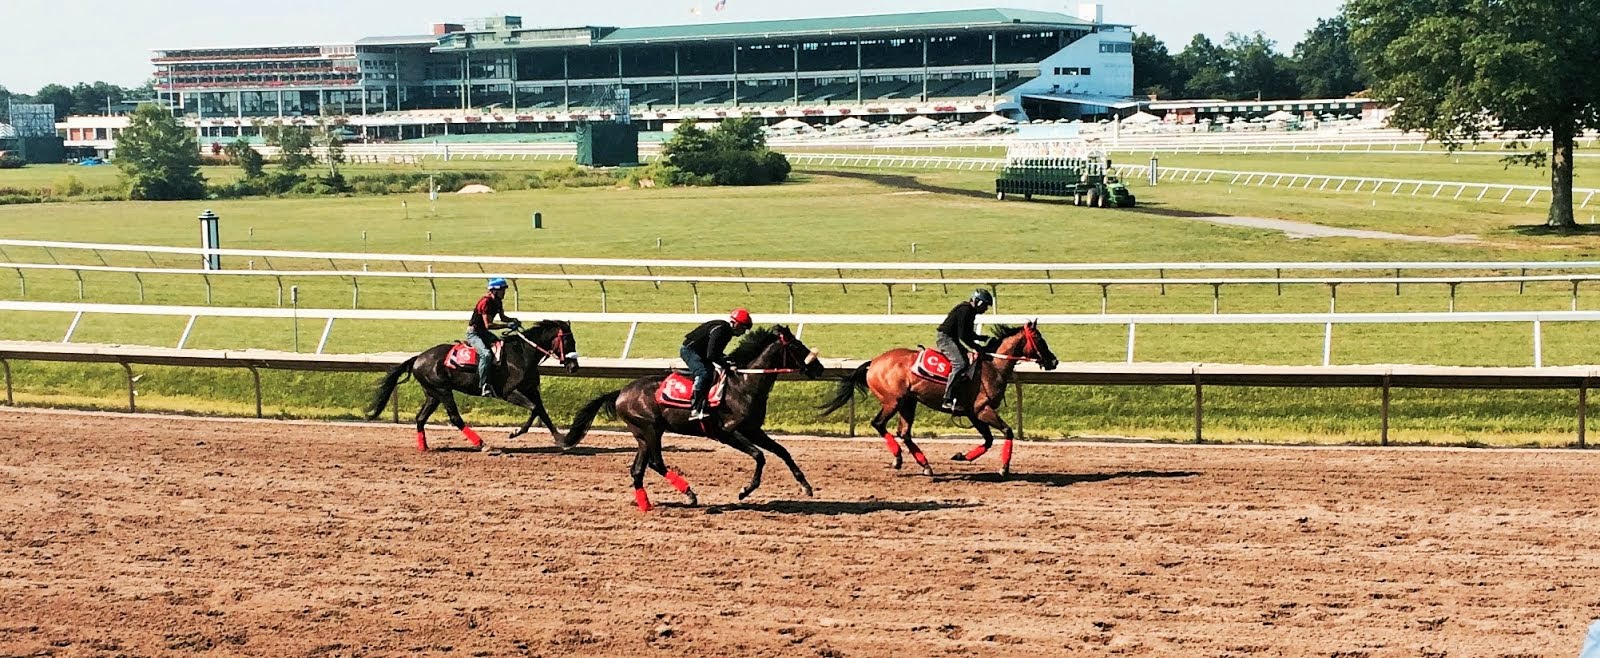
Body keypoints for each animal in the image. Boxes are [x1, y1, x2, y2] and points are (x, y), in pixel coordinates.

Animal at [368, 320, 582, 454]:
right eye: (567, 340)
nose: (574, 366)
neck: (522, 354)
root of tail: (418, 358)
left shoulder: (531, 389)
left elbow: (543, 412)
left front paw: (563, 440)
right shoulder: (508, 392)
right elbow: (534, 408)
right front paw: (515, 432)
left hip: (432, 393)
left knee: (420, 418)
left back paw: (424, 447)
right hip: (443, 390)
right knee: (455, 418)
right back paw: (483, 445)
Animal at [563, 326, 825, 512]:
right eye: (798, 347)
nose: (819, 368)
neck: (744, 385)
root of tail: (620, 392)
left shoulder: (753, 430)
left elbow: (783, 452)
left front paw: (806, 486)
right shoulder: (727, 432)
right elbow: (759, 456)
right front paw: (744, 490)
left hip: (642, 435)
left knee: (638, 470)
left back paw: (646, 505)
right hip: (650, 428)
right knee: (656, 463)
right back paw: (689, 494)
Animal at [819, 321, 1056, 477]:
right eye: (1039, 339)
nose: (1053, 361)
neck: (992, 366)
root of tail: (874, 362)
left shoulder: (973, 413)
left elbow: (988, 440)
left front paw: (961, 456)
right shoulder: (982, 410)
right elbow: (1007, 431)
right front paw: (1004, 468)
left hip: (908, 402)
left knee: (904, 433)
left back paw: (925, 466)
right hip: (892, 401)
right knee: (879, 424)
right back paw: (898, 458)